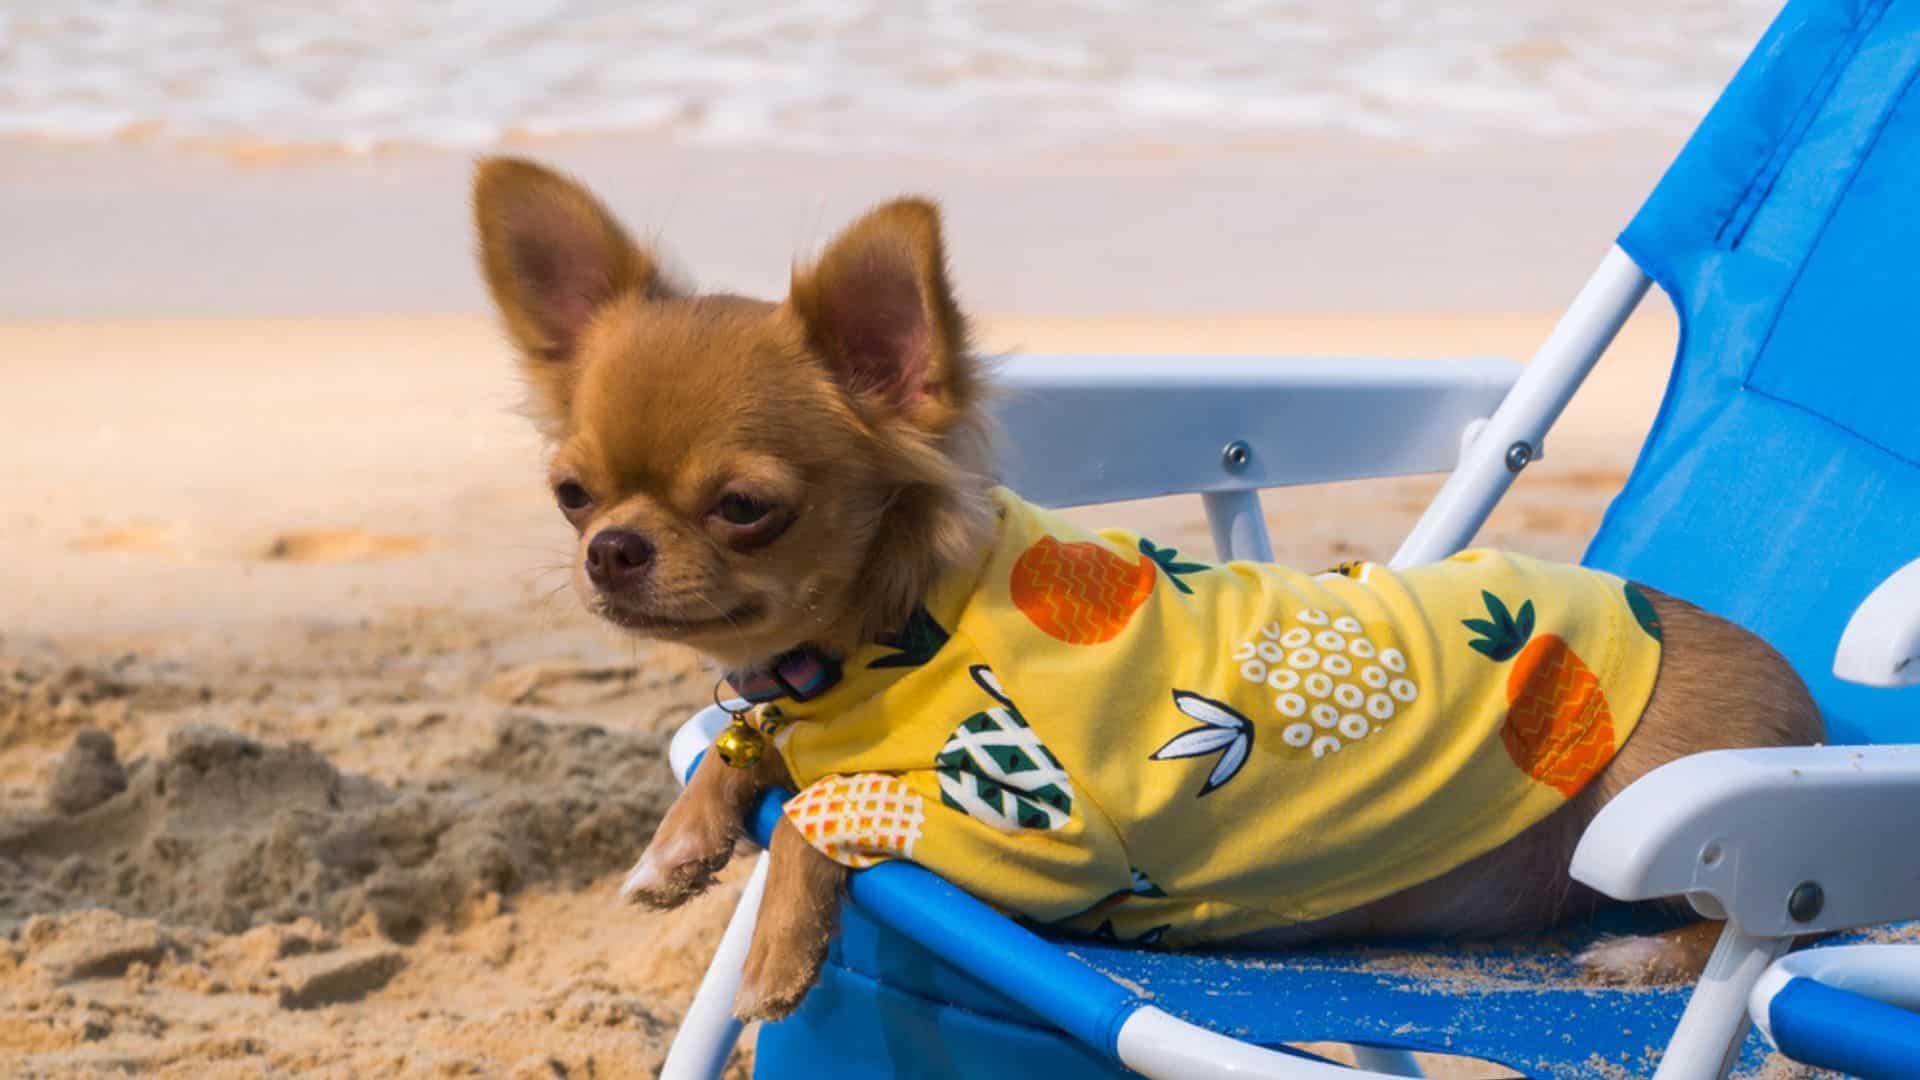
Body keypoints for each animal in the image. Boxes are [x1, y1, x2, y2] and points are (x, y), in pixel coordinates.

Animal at [472, 155, 1820, 1014]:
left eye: (746, 509)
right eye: (571, 493)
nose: (611, 550)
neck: (888, 636)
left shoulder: (1044, 845)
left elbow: (825, 807)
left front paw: (775, 954)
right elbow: (745, 756)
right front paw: (677, 846)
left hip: (1636, 790)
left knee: (1748, 924)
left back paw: (1646, 958)